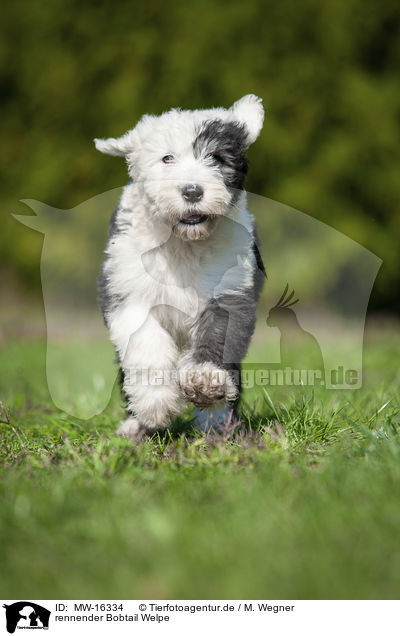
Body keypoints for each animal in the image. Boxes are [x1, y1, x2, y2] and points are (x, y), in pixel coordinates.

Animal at [94, 93, 266, 438]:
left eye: (216, 157)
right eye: (167, 158)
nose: (192, 191)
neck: (184, 244)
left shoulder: (231, 290)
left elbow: (219, 333)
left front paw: (204, 381)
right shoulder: (128, 291)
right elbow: (145, 344)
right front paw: (156, 405)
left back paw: (217, 424)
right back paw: (136, 425)